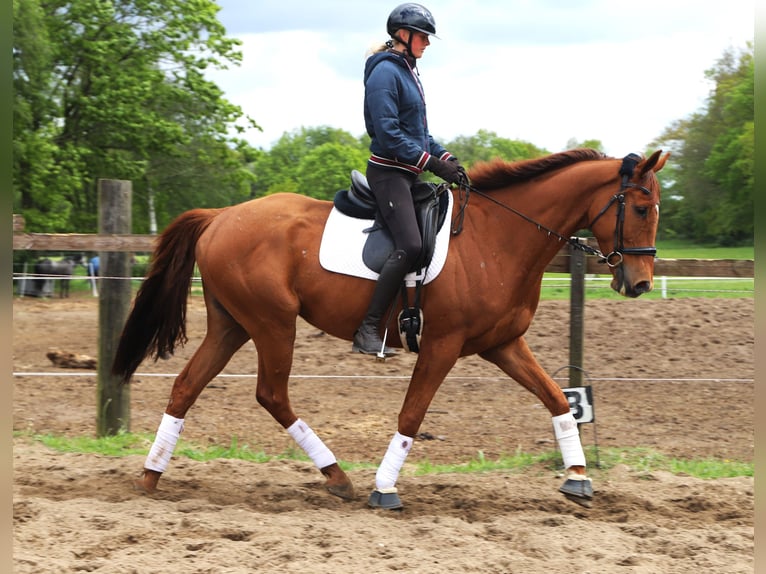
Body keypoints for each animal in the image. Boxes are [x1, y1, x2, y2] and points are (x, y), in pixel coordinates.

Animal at [113, 148, 668, 510]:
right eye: (641, 208)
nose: (639, 283)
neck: (496, 239)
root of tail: (220, 216)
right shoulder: (442, 345)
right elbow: (412, 414)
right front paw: (385, 488)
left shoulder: (503, 344)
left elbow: (557, 399)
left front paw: (577, 478)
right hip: (272, 323)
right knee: (271, 393)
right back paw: (338, 477)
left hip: (233, 325)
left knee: (188, 386)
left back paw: (150, 477)